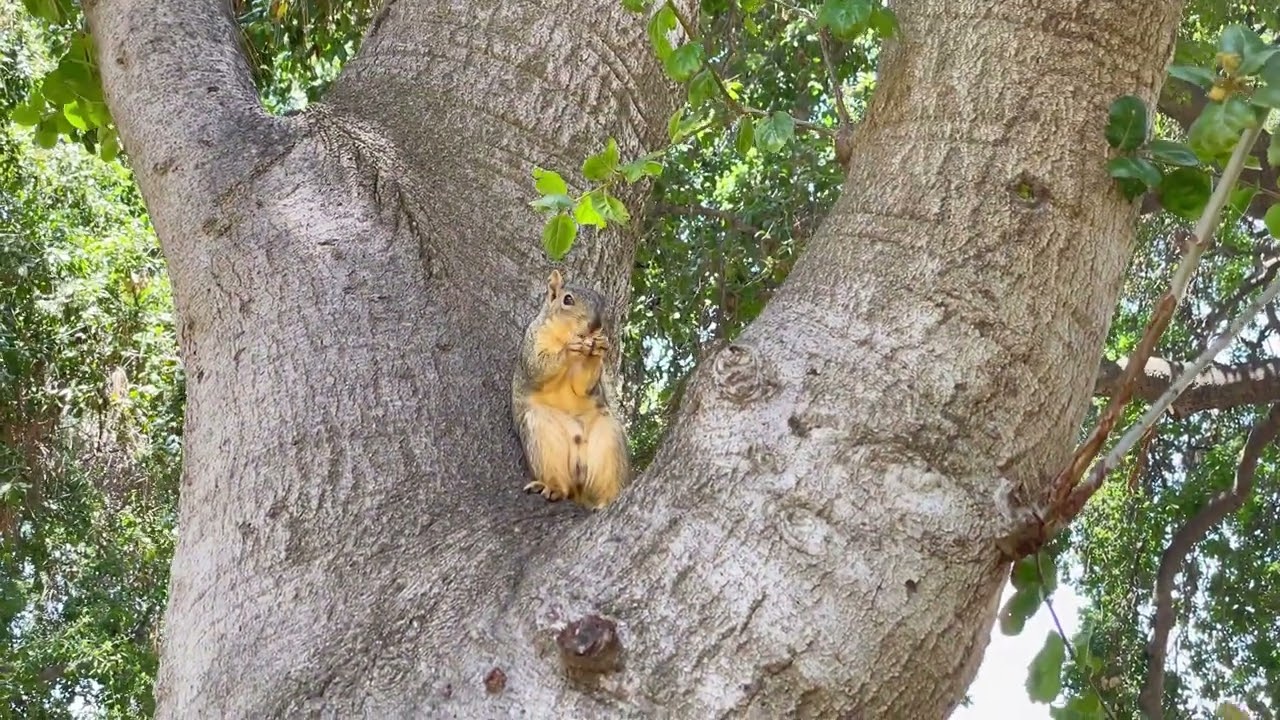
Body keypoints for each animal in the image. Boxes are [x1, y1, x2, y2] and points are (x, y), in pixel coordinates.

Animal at [511, 269, 630, 509]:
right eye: (567, 300)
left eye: (602, 302)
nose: (595, 325)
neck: (566, 335)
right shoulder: (532, 343)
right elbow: (538, 368)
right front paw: (568, 350)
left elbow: (582, 387)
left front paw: (598, 348)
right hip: (541, 431)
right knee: (559, 479)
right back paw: (551, 487)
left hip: (608, 437)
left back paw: (607, 500)